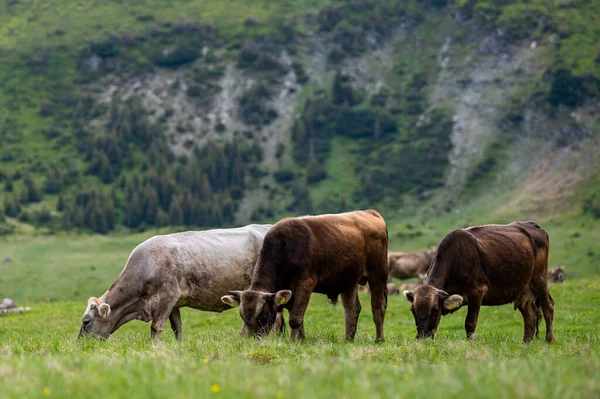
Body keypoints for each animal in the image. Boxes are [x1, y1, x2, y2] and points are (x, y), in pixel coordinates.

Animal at [78, 225, 274, 340]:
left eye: (86, 321)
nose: (80, 346)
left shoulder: (168, 295)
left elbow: (156, 326)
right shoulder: (175, 303)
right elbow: (177, 328)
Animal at [221, 211, 390, 342]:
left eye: (263, 315)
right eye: (242, 315)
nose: (250, 339)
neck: (285, 247)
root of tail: (370, 213)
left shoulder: (305, 285)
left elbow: (295, 318)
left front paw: (293, 341)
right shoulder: (290, 292)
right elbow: (298, 316)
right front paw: (301, 340)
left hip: (378, 275)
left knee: (377, 308)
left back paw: (379, 339)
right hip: (348, 280)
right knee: (352, 309)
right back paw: (348, 339)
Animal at [400, 222, 556, 344]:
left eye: (435, 310)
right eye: (413, 310)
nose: (422, 339)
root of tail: (532, 225)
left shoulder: (477, 292)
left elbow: (470, 322)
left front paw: (470, 344)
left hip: (540, 278)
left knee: (548, 307)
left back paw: (549, 340)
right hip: (522, 287)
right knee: (530, 314)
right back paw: (525, 343)